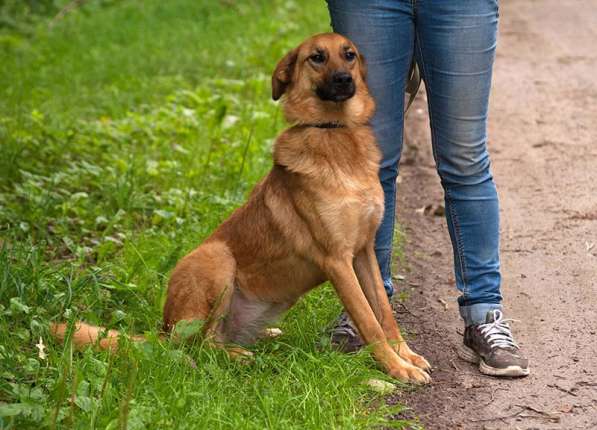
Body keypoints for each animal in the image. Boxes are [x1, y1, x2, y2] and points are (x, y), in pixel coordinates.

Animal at [51, 32, 430, 382]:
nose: (344, 80)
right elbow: (369, 321)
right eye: (317, 57)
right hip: (215, 258)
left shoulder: (364, 251)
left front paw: (406, 355)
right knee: (199, 346)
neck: (334, 132)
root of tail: (161, 331)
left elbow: (384, 312)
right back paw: (237, 356)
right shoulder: (336, 259)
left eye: (349, 55)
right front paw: (396, 368)